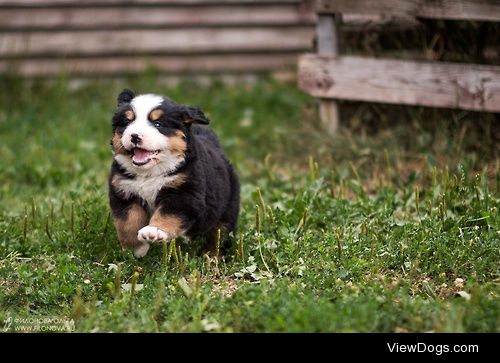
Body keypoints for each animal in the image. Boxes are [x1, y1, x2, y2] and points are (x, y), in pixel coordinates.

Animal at [109, 89, 240, 258]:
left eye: (157, 124)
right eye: (127, 122)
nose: (135, 136)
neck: (149, 173)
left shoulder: (183, 194)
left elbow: (167, 214)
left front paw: (154, 231)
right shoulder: (124, 191)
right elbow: (128, 221)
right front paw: (136, 248)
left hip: (227, 209)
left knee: (219, 234)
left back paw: (211, 256)